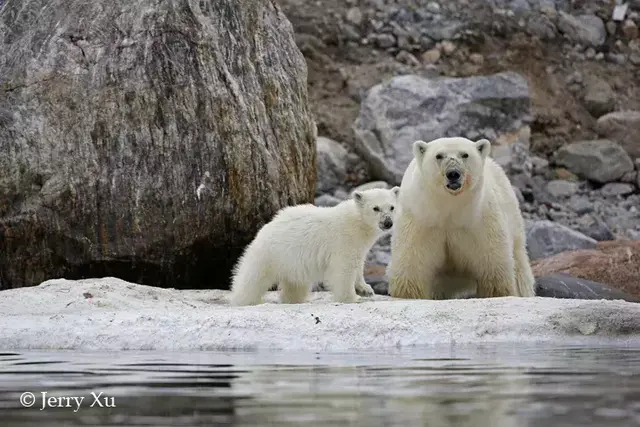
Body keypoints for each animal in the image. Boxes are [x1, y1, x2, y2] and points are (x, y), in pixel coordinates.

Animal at [229, 187, 400, 306]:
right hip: (270, 254)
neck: (357, 223)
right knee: (251, 279)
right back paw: (244, 300)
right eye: (376, 208)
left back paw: (293, 300)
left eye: (392, 207)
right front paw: (352, 298)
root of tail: (264, 229)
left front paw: (366, 289)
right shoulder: (344, 240)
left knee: (295, 286)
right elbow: (343, 270)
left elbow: (358, 265)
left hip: (292, 263)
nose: (388, 222)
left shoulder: (358, 245)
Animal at [387, 136, 536, 299]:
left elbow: (493, 265)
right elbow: (412, 264)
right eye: (439, 156)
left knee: (520, 268)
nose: (453, 173)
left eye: (465, 155)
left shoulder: (480, 221)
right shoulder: (420, 220)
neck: (450, 211)